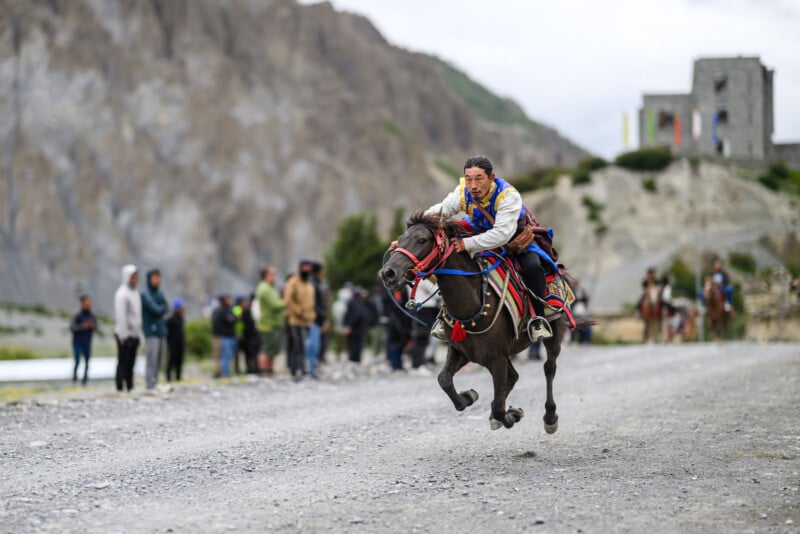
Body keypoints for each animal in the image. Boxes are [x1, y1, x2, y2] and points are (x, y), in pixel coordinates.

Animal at [380, 212, 571, 434]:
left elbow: (499, 407)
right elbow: (444, 380)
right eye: (400, 240)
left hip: (554, 335)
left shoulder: (496, 358)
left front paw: (512, 414)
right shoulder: (462, 351)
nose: (388, 273)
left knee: (549, 368)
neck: (470, 305)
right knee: (513, 377)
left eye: (421, 240)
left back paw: (550, 417)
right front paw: (469, 396)